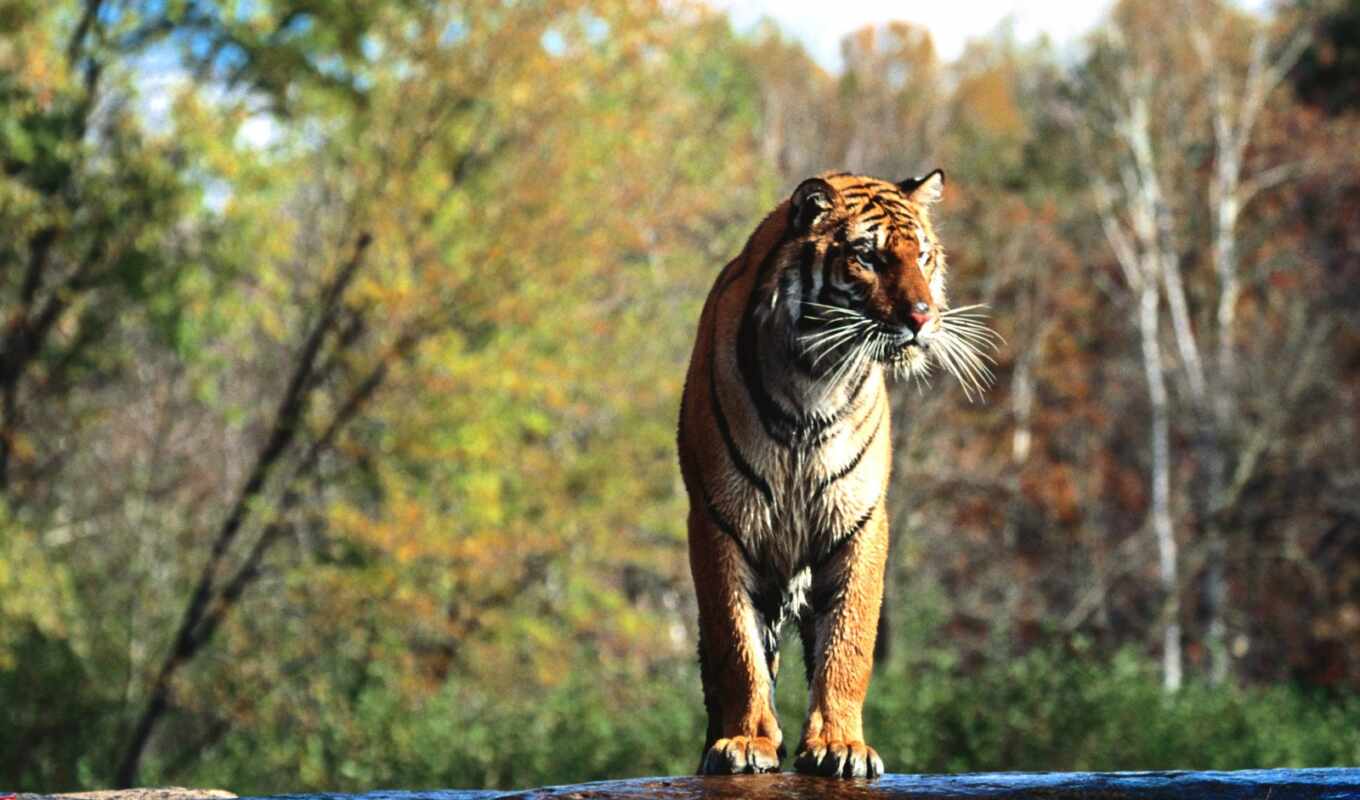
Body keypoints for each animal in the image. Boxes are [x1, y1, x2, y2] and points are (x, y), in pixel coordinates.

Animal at [674, 172, 995, 778]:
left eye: (922, 255)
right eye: (867, 257)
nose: (922, 318)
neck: (812, 378)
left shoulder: (860, 522)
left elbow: (849, 642)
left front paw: (840, 745)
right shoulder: (720, 521)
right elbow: (737, 646)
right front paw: (746, 742)